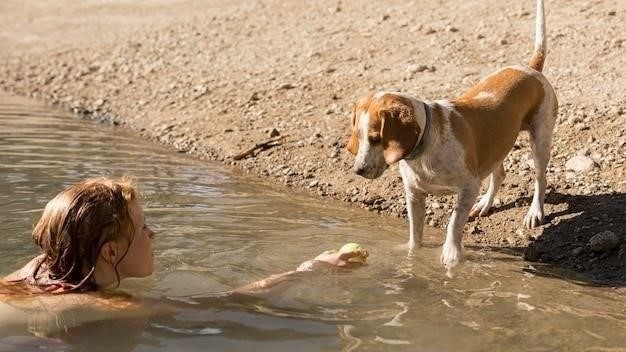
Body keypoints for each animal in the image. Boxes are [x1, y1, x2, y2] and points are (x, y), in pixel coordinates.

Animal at [346, 0, 556, 272]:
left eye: (375, 138)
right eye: (359, 137)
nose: (358, 170)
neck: (424, 147)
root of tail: (530, 69)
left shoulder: (468, 186)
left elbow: (454, 223)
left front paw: (451, 255)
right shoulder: (414, 194)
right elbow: (415, 232)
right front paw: (411, 257)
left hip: (540, 141)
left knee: (540, 178)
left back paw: (534, 212)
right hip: (496, 147)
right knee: (499, 174)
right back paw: (485, 204)